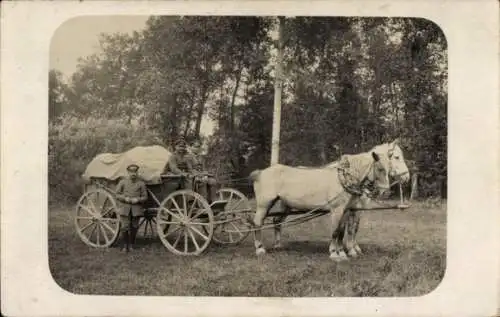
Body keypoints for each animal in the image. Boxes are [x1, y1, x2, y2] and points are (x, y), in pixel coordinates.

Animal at [268, 138, 408, 256]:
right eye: (397, 157)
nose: (407, 177)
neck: (351, 176)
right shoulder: (352, 208)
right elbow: (349, 228)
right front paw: (349, 249)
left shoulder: (355, 208)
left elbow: (351, 227)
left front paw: (349, 248)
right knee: (276, 220)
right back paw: (277, 245)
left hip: (287, 206)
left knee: (277, 220)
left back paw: (277, 244)